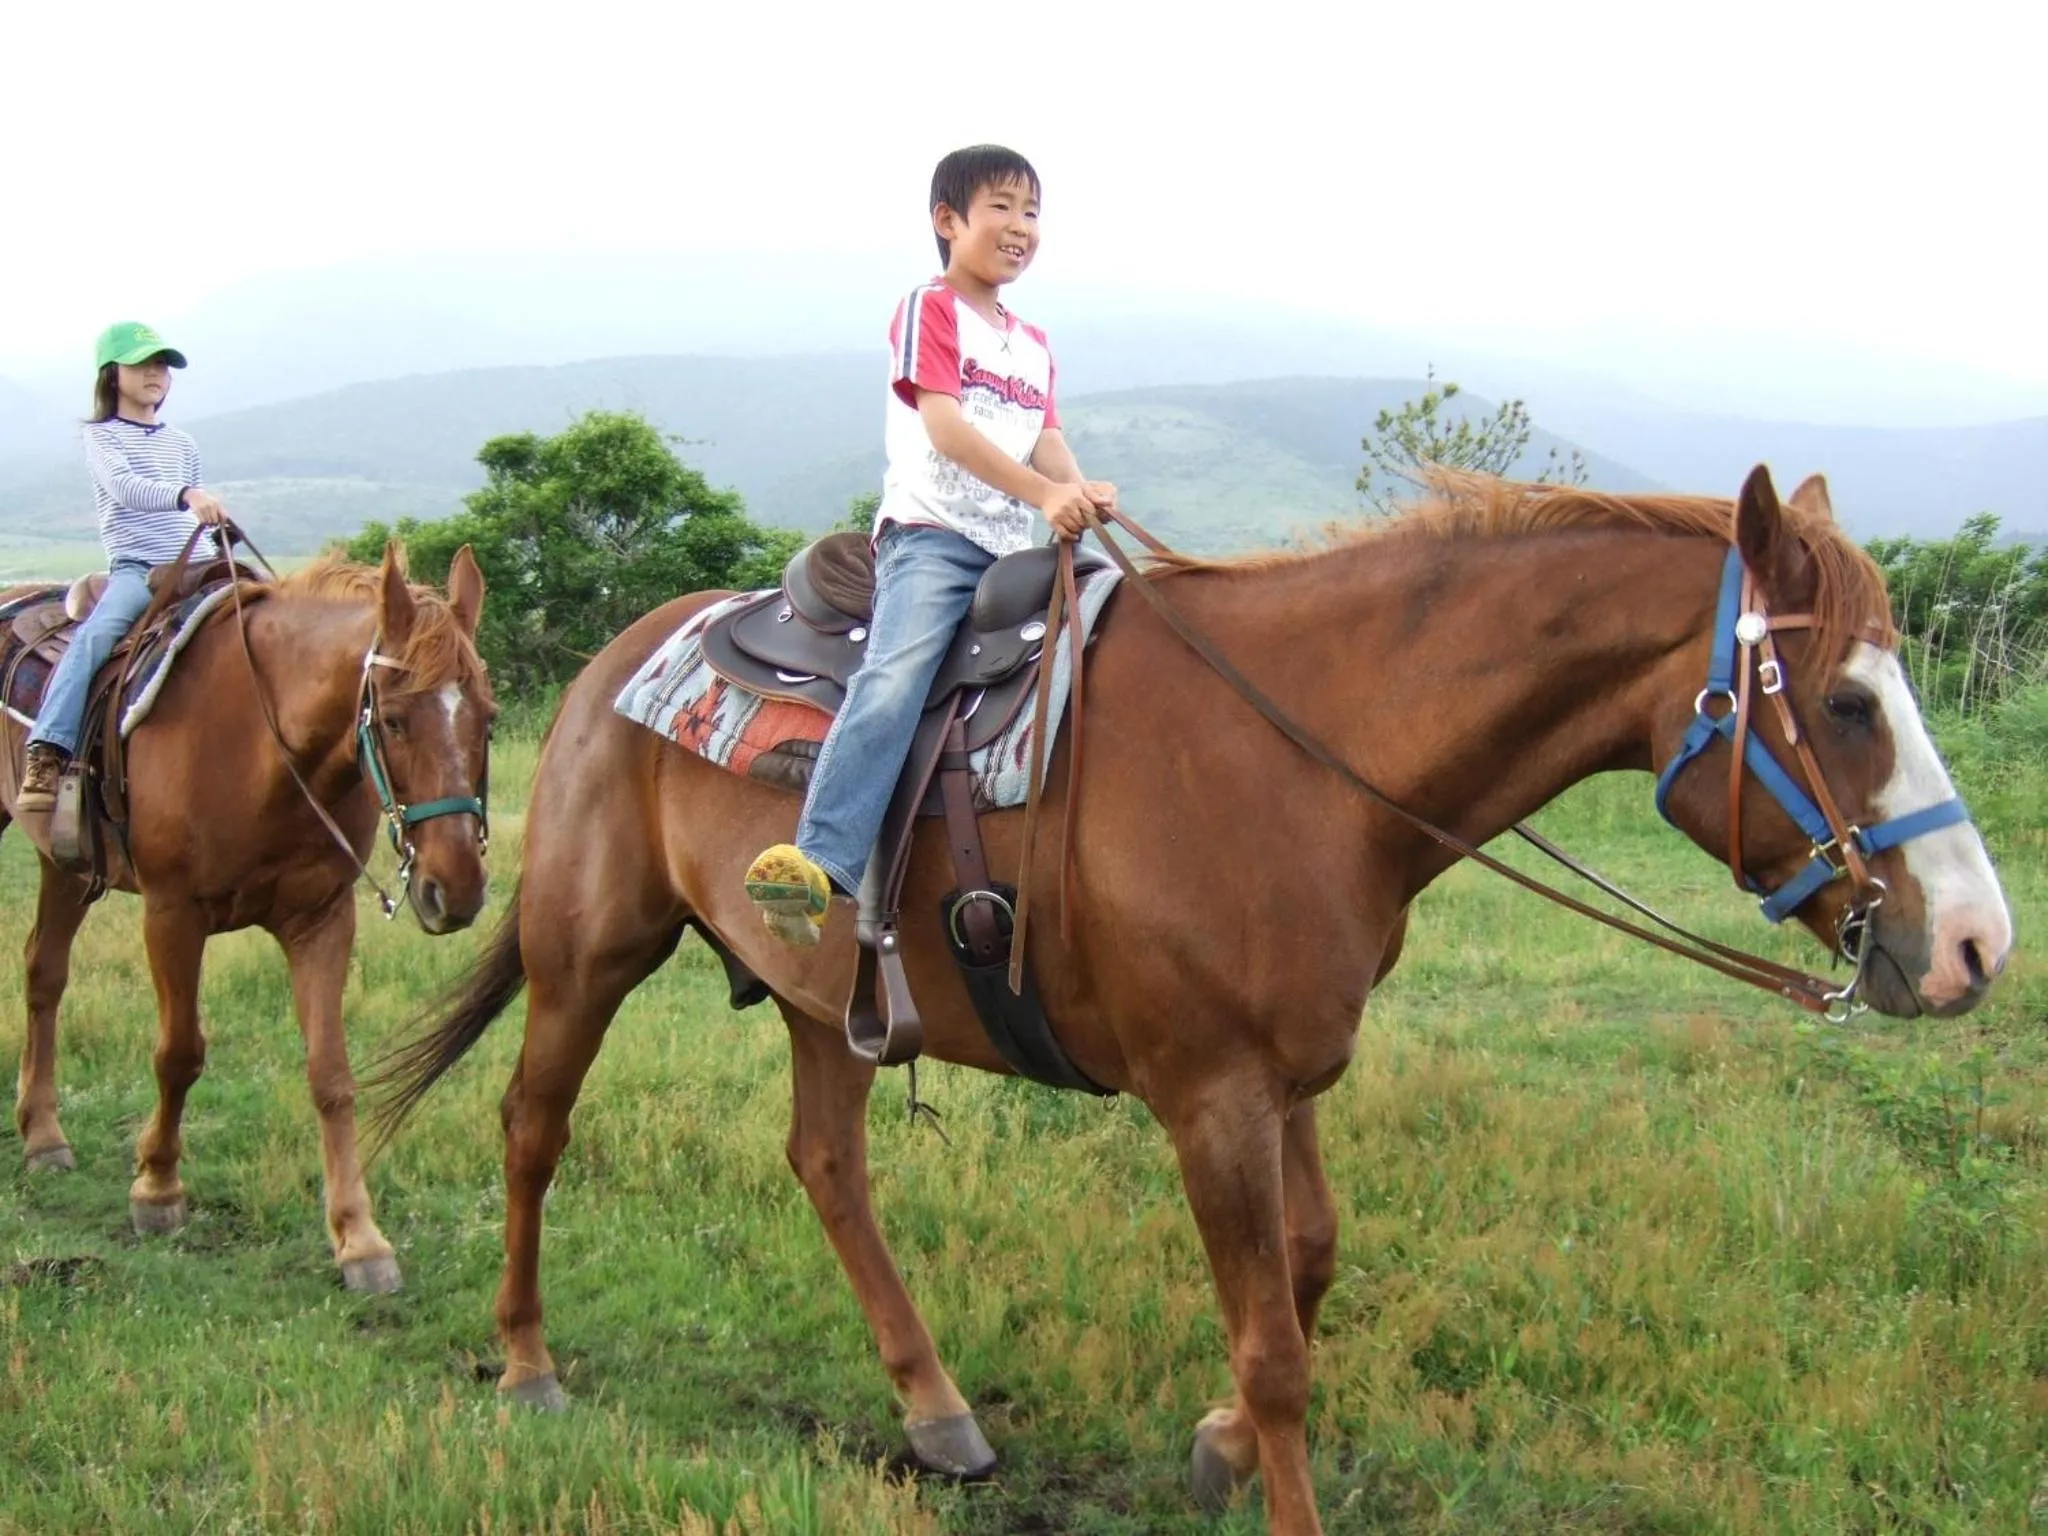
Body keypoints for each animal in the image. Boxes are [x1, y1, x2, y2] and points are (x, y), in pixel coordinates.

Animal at [5, 541, 495, 1293]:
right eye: (392, 720)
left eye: (488, 719)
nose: (457, 888)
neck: (265, 748)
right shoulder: (172, 915)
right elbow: (179, 1053)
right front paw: (158, 1189)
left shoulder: (322, 920)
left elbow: (332, 1075)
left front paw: (359, 1239)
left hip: (66, 866)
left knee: (43, 975)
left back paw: (43, 1135)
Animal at [366, 466, 2011, 1534]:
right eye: (1845, 704)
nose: (1975, 946)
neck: (1298, 759)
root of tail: (625, 653)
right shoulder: (1210, 1094)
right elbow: (1276, 1344)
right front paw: (1255, 1460)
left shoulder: (1286, 1074)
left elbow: (1312, 1261)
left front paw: (1214, 1445)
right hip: (589, 945)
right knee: (531, 1125)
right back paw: (526, 1365)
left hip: (823, 996)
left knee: (828, 1165)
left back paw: (935, 1410)